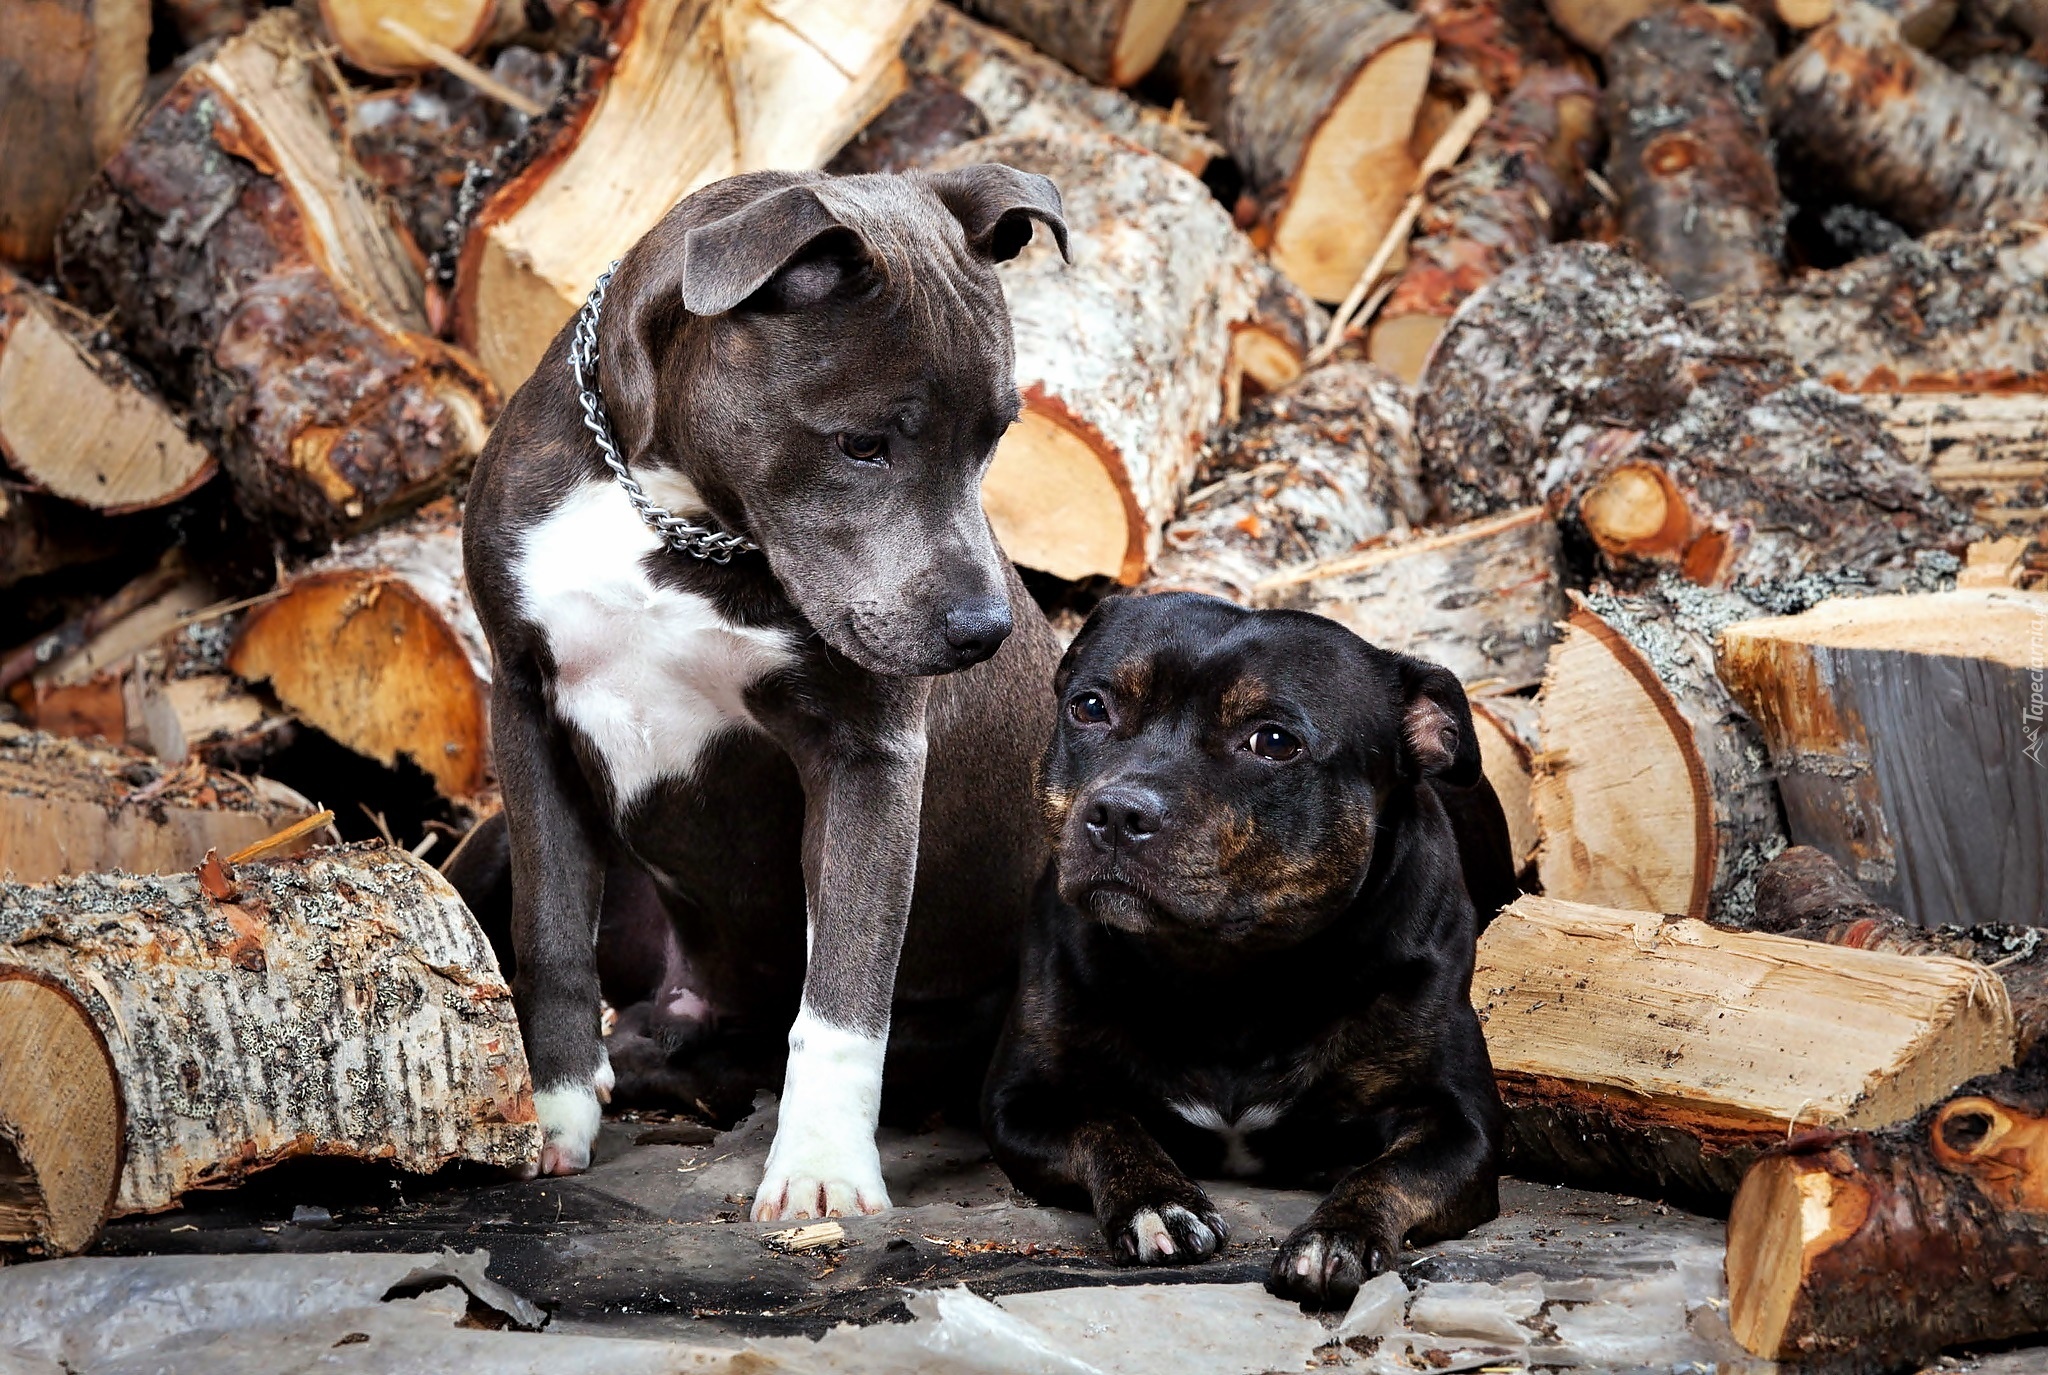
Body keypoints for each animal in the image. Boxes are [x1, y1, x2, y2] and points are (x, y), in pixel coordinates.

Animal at [466, 163, 1073, 1229]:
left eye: (997, 436)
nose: (982, 631)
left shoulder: (865, 755)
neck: (672, 516)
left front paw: (823, 1162)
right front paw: (550, 1111)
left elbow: (844, 988)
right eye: (862, 444)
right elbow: (550, 932)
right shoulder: (525, 704)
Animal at [983, 594, 1515, 1311]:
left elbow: (1391, 1172)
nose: (1119, 812)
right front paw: (1158, 1202)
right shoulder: (1023, 1100)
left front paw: (1338, 1234)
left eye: (1274, 742)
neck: (1227, 976)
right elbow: (1107, 1124)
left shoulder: (1462, 1124)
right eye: (1090, 706)